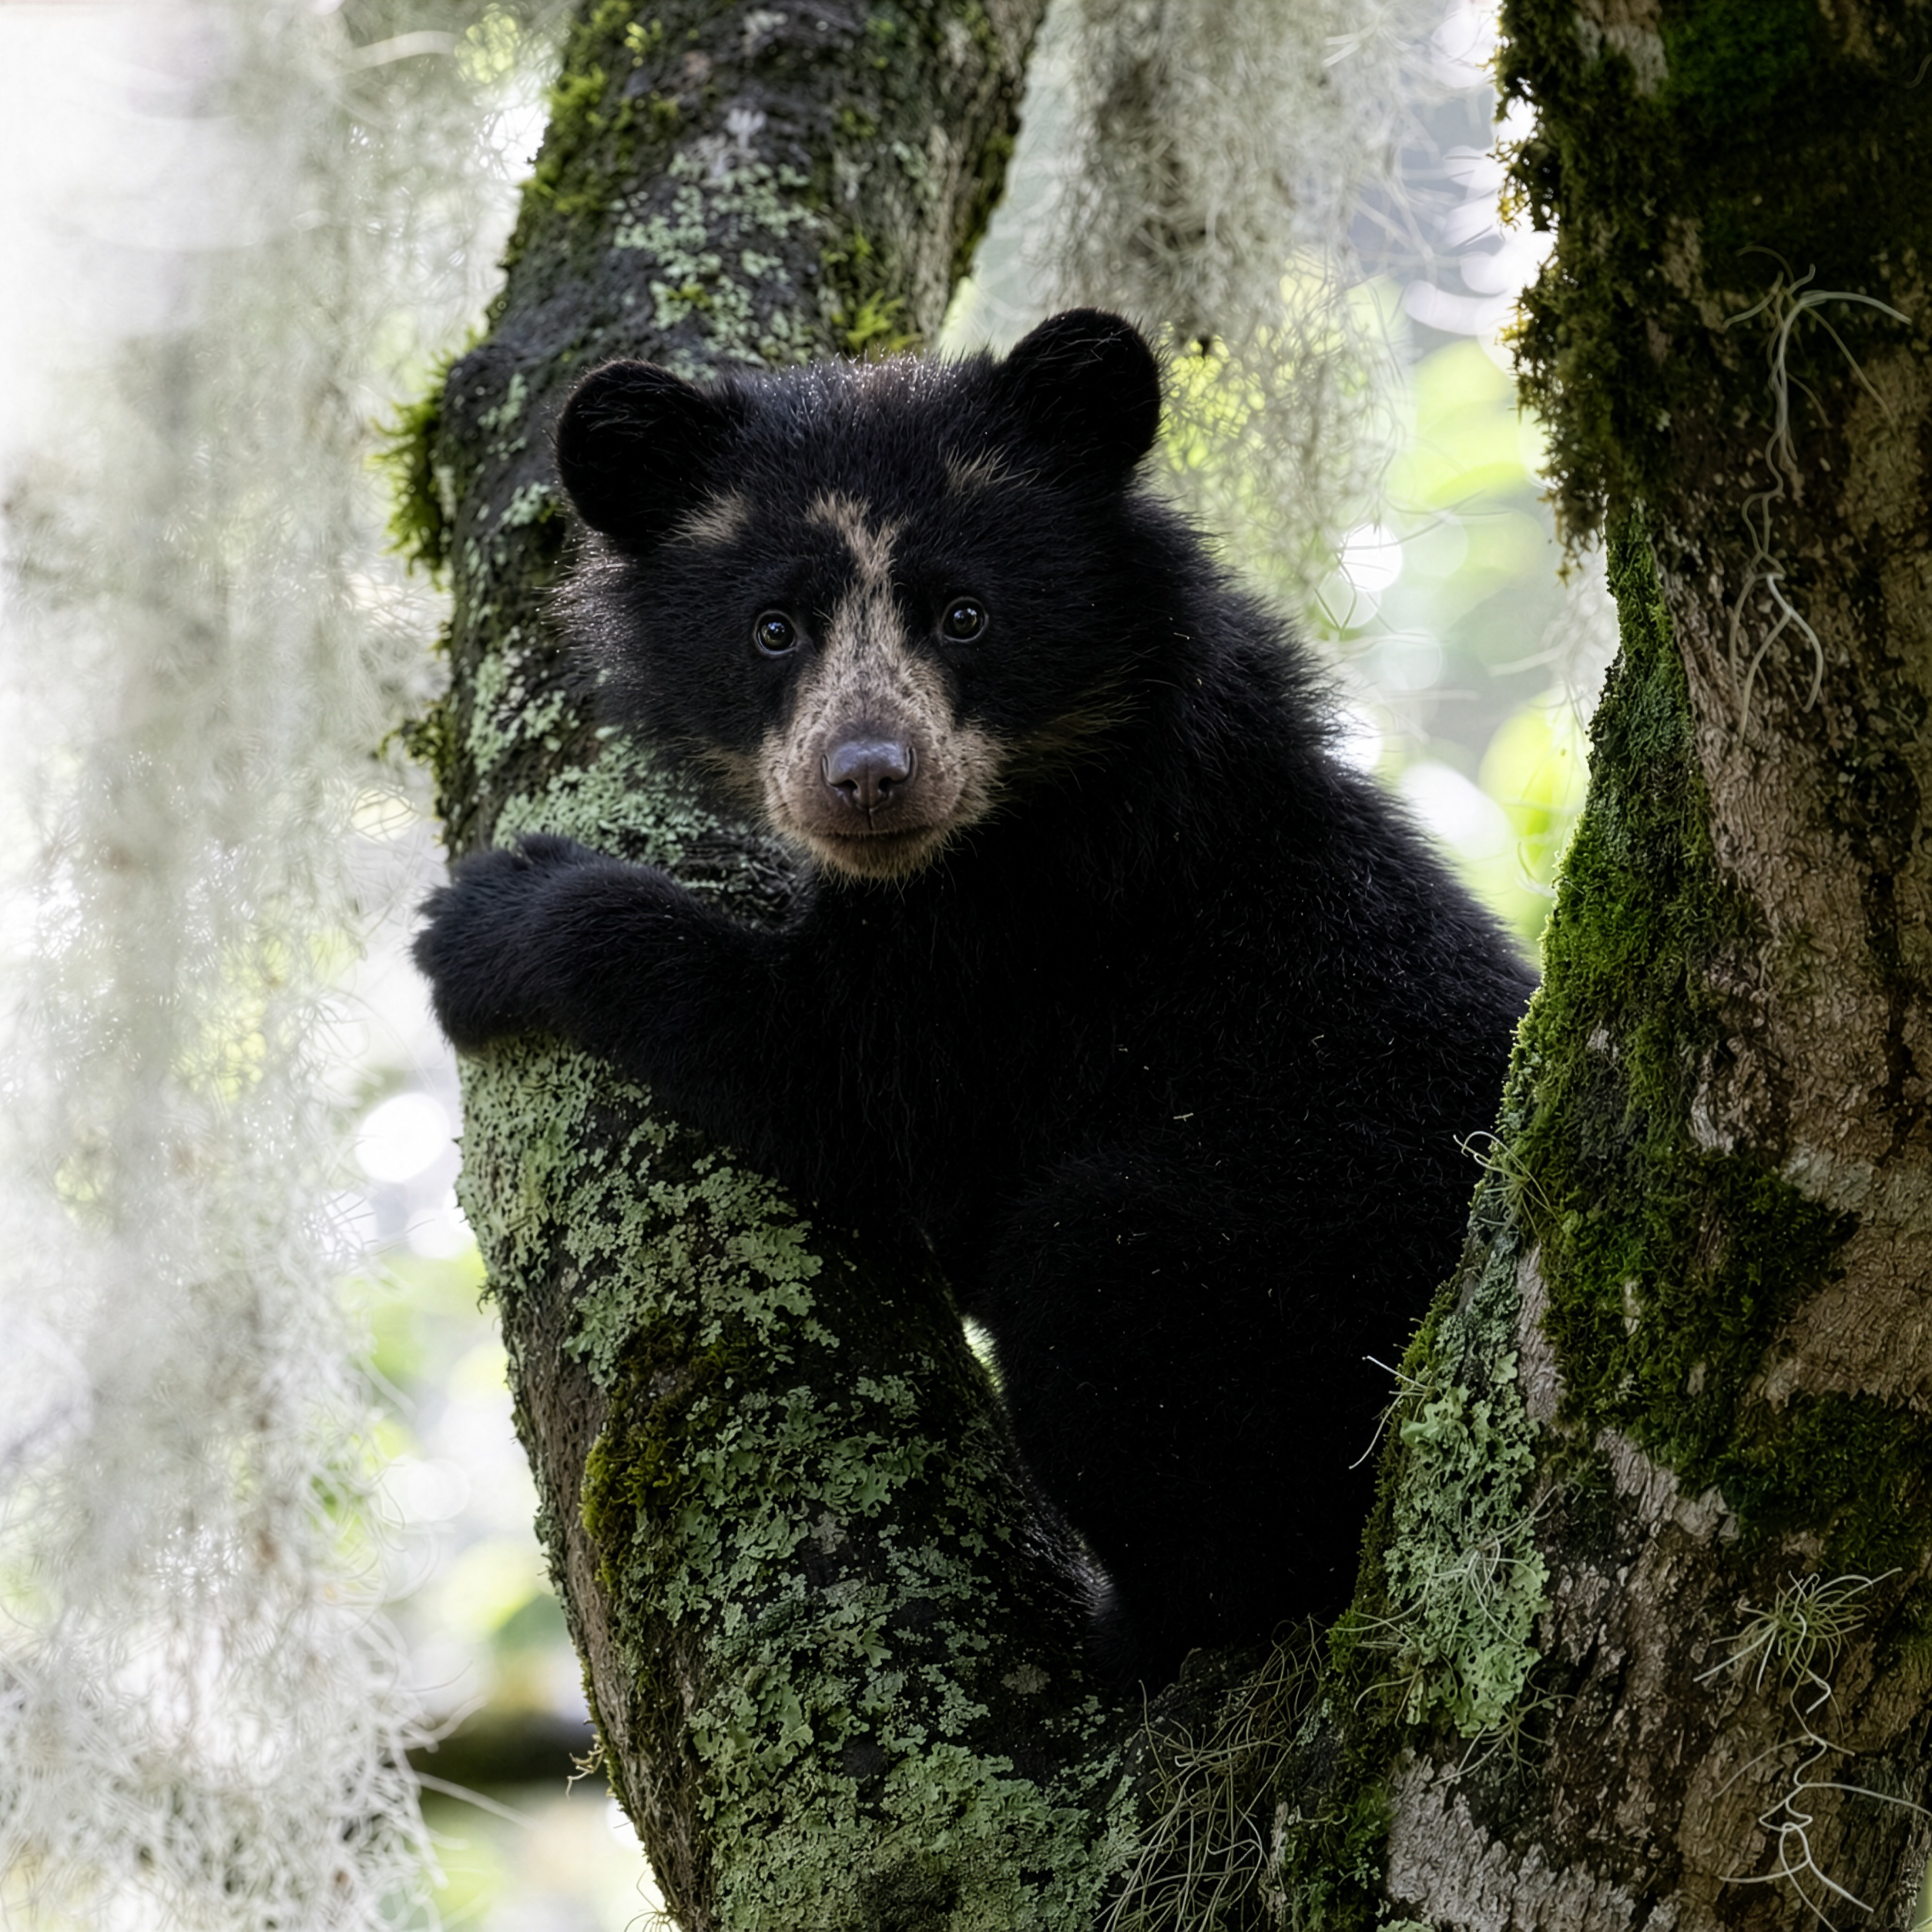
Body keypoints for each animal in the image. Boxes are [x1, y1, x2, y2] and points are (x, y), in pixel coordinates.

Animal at [414, 309, 1536, 1682]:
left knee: (1103, 1277)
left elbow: (840, 1083)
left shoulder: (1030, 949)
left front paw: (490, 921)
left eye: (963, 616)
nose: (867, 778)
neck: (1043, 797)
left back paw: (1129, 1638)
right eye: (774, 629)